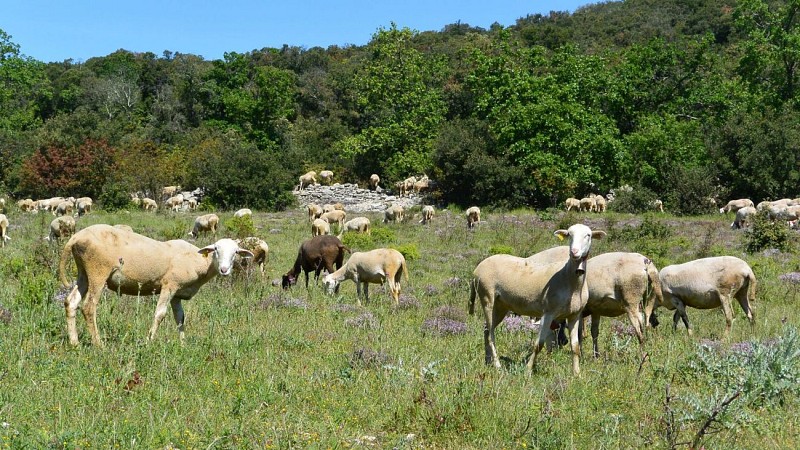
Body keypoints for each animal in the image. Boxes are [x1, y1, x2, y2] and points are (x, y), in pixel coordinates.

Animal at [59, 224, 253, 346]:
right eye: (216, 250)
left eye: (236, 252)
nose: (224, 270)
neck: (199, 261)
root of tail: (75, 238)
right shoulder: (169, 285)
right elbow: (160, 314)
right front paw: (149, 341)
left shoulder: (177, 294)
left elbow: (180, 318)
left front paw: (183, 345)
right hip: (98, 271)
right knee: (89, 307)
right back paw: (99, 345)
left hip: (84, 272)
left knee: (71, 302)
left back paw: (74, 343)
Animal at [468, 224, 606, 375]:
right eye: (569, 234)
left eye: (588, 235)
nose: (574, 252)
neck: (569, 280)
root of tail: (477, 269)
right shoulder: (548, 313)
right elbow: (539, 344)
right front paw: (528, 370)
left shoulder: (574, 315)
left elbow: (575, 346)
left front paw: (577, 373)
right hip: (487, 297)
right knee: (491, 333)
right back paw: (497, 365)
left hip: (500, 306)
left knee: (487, 329)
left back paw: (488, 361)